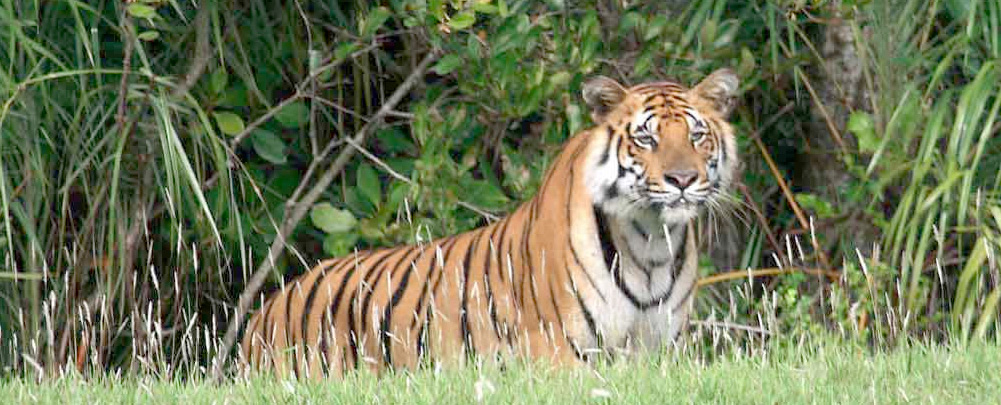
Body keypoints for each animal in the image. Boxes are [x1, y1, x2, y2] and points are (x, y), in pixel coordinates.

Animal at [240, 68, 744, 376]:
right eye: (646, 138)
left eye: (697, 135)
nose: (682, 179)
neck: (650, 242)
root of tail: (261, 314)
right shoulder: (556, 353)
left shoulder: (660, 352)